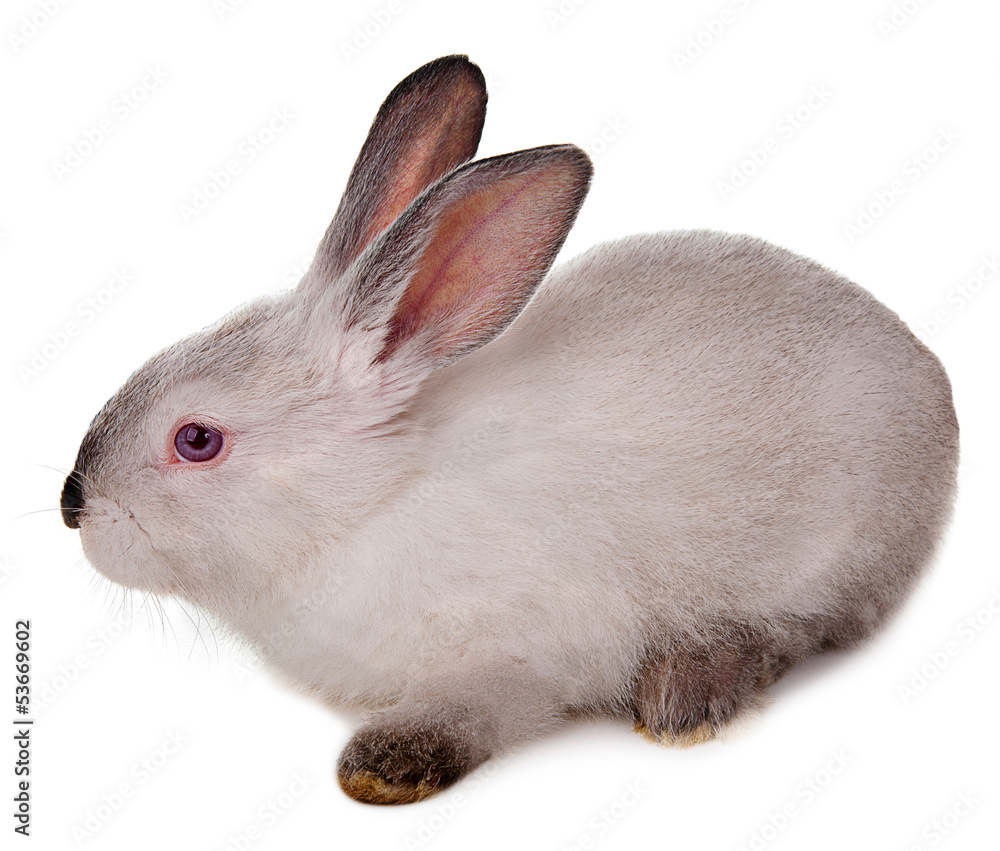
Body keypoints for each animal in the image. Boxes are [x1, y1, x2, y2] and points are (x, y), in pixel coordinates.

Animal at [60, 55, 960, 804]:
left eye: (197, 439)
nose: (75, 506)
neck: (376, 498)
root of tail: (929, 376)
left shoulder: (523, 649)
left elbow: (478, 707)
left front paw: (386, 765)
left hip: (826, 554)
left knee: (797, 627)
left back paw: (689, 691)